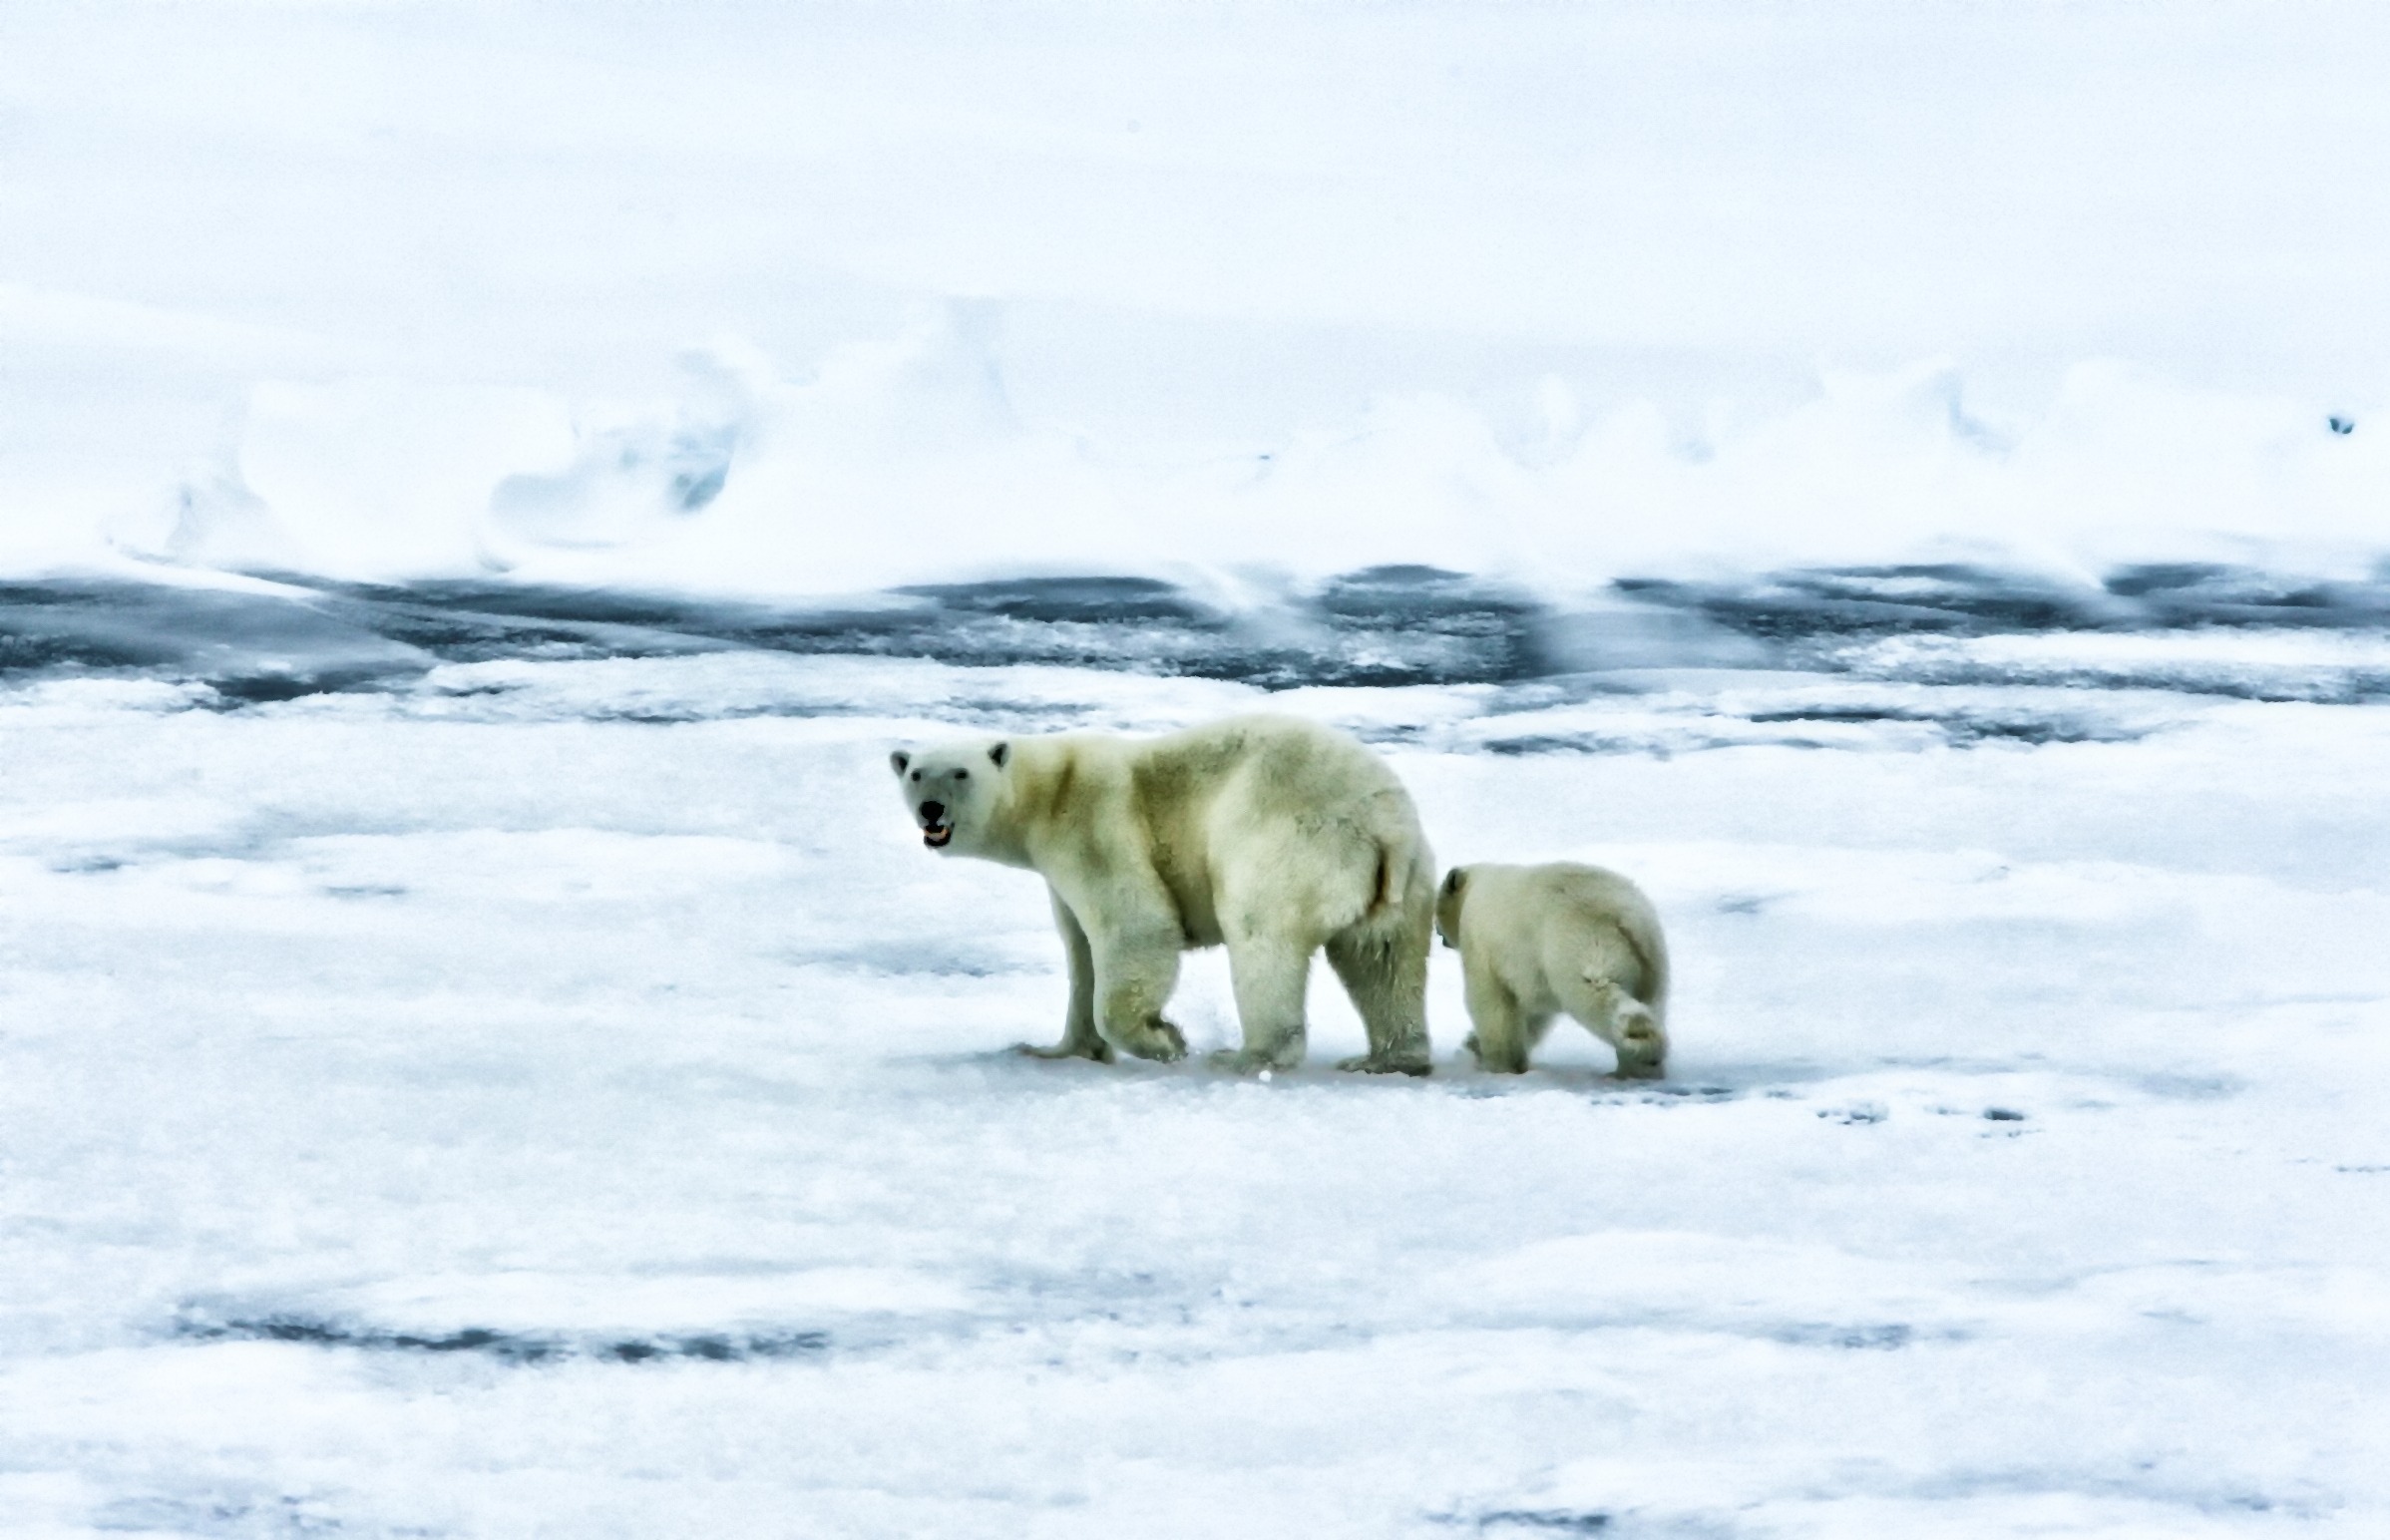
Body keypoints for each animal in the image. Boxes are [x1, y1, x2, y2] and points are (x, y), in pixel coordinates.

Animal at [889, 717, 1424, 1071]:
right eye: (915, 773)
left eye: (960, 773)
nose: (931, 809)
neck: (1049, 789)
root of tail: (1381, 825)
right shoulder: (1059, 872)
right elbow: (1080, 949)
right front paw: (1056, 1049)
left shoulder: (1092, 826)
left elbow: (1135, 925)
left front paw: (1165, 1040)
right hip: (1403, 877)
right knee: (1384, 959)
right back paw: (1388, 1058)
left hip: (1284, 844)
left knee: (1261, 938)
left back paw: (1245, 1056)